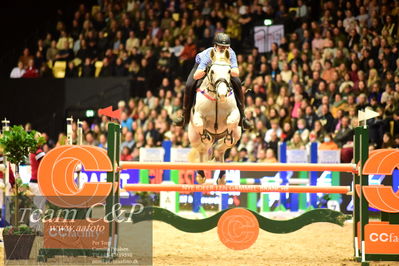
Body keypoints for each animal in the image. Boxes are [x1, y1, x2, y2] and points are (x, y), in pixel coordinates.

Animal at [188, 48, 242, 185]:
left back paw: (221, 176)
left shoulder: (235, 112)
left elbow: (231, 121)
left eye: (229, 71)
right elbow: (200, 124)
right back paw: (201, 175)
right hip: (193, 137)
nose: (222, 94)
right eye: (212, 71)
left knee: (220, 150)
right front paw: (206, 137)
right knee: (202, 150)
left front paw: (228, 135)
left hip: (237, 134)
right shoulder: (198, 116)